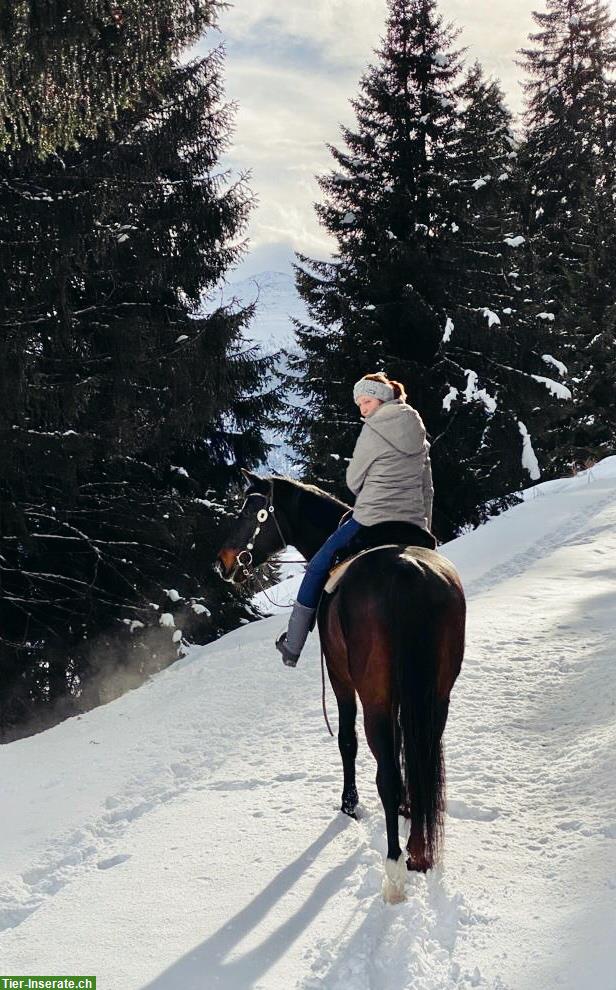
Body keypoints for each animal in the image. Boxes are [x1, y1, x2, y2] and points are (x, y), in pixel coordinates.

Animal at [214, 468, 464, 904]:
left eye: (248, 510)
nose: (223, 563)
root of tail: (409, 570)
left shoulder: (340, 676)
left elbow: (347, 740)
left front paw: (349, 804)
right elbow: (404, 745)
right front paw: (406, 809)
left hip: (374, 694)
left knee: (386, 774)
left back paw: (395, 869)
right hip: (436, 693)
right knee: (421, 757)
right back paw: (419, 852)